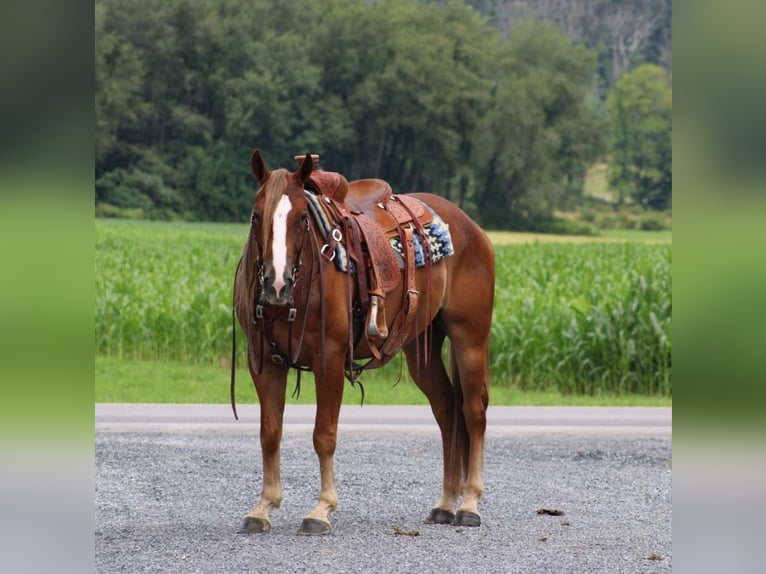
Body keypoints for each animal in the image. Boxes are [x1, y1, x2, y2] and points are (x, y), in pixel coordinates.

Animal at [234, 151, 498, 536]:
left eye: (302, 219)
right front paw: (263, 507)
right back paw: (446, 503)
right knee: (448, 410)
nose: (276, 284)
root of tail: (471, 228)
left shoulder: (329, 358)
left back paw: (469, 504)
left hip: (470, 339)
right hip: (421, 348)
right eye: (256, 216)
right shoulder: (265, 361)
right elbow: (270, 433)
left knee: (474, 412)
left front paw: (321, 510)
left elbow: (323, 435)